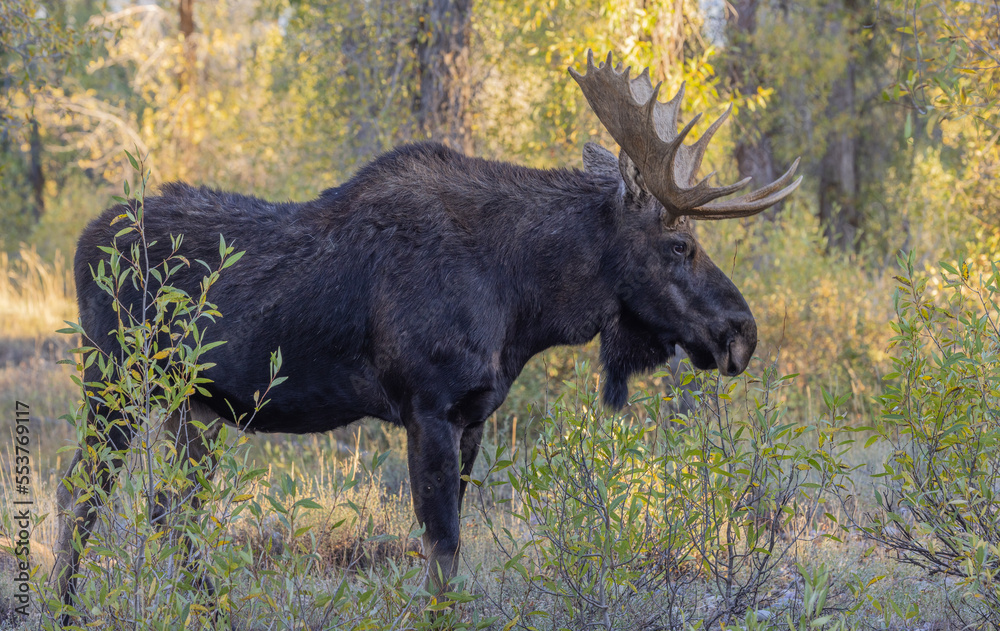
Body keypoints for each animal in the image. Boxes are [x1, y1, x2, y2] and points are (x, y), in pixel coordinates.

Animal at [51, 51, 800, 612]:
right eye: (680, 245)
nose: (742, 332)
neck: (524, 299)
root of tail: (84, 241)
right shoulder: (428, 407)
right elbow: (441, 553)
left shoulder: (473, 417)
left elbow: (451, 549)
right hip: (114, 382)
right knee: (80, 493)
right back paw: (64, 608)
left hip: (195, 407)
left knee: (168, 508)